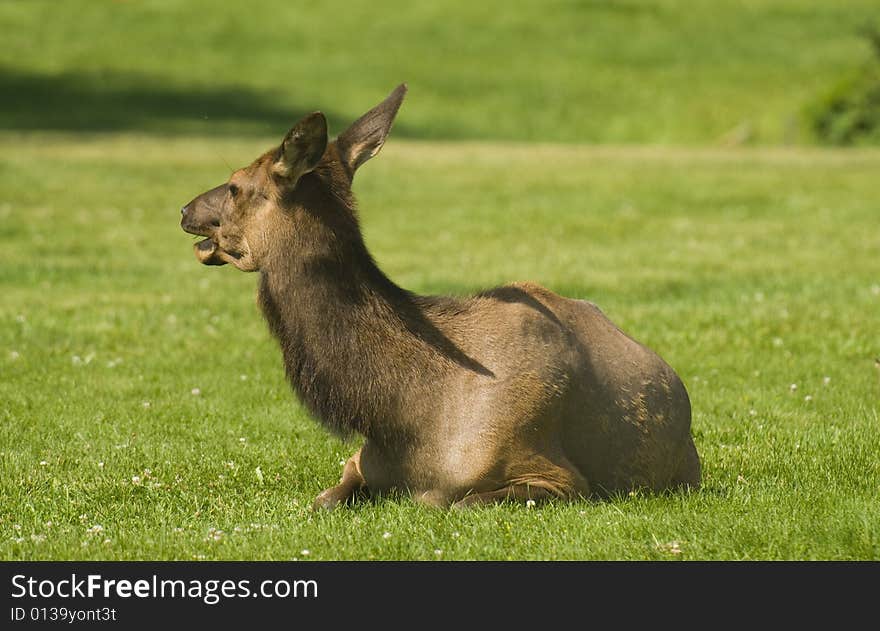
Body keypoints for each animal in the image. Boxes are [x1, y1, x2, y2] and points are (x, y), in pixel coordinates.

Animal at [179, 84, 700, 512]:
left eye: (235, 185)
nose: (185, 210)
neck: (401, 418)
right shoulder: (359, 460)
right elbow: (323, 500)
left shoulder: (558, 477)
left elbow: (452, 503)